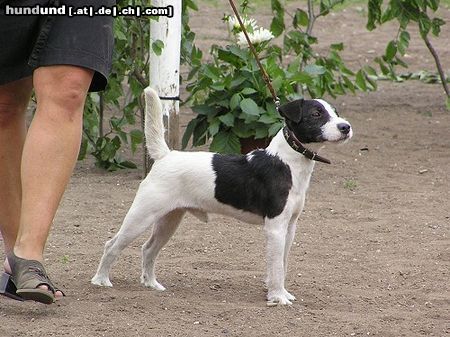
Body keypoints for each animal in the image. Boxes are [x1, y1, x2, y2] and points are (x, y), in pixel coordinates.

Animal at [91, 86, 352, 304]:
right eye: (316, 114)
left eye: (335, 112)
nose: (345, 127)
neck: (286, 162)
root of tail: (166, 155)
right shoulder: (275, 227)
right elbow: (277, 267)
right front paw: (278, 297)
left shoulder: (290, 227)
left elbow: (282, 264)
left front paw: (280, 292)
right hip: (141, 216)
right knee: (112, 245)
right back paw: (101, 280)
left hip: (170, 219)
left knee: (148, 249)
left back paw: (151, 284)